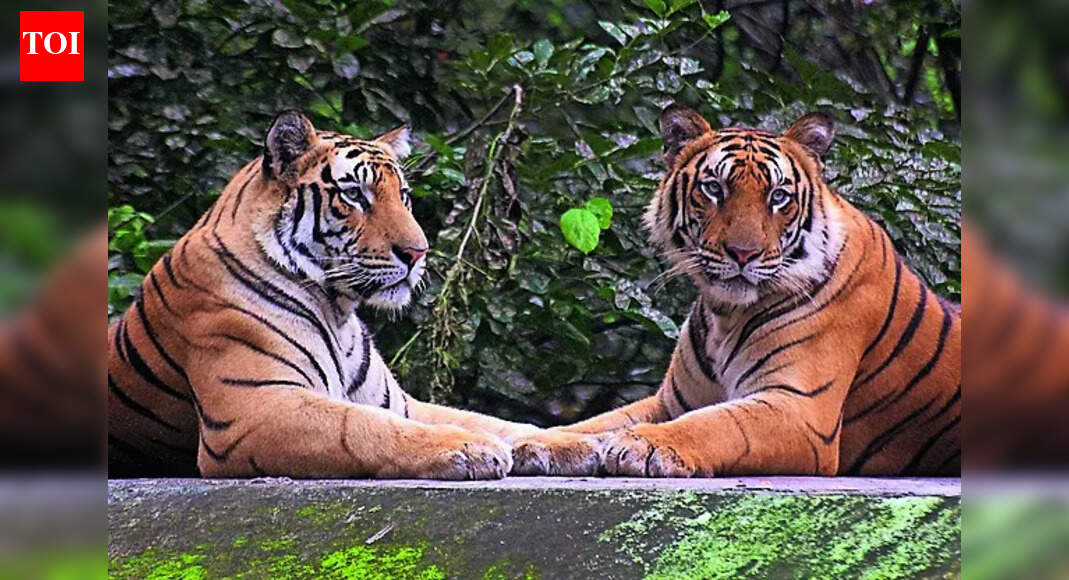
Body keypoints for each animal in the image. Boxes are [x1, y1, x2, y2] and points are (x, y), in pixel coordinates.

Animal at [108, 110, 539, 479]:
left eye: (404, 195)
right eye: (355, 195)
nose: (418, 253)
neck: (338, 309)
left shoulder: (399, 402)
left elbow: (499, 421)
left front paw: (553, 440)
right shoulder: (254, 411)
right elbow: (362, 427)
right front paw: (472, 446)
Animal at [512, 104, 961, 477]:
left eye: (778, 196)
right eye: (714, 189)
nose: (743, 253)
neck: (725, 314)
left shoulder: (800, 408)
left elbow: (718, 424)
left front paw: (645, 445)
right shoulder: (669, 401)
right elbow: (595, 422)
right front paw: (538, 443)